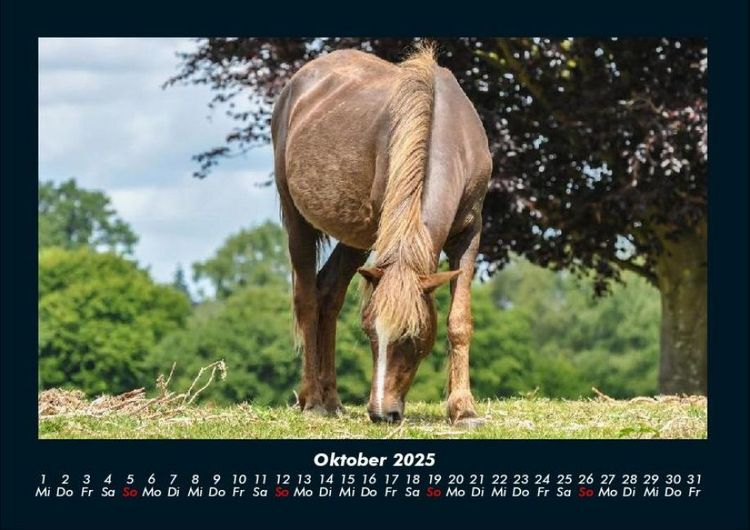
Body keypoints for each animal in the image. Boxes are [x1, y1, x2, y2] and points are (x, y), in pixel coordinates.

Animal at [271, 44, 492, 425]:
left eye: (413, 335)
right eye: (369, 332)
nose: (380, 413)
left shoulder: (469, 233)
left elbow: (459, 320)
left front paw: (463, 409)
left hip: (355, 238)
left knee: (329, 293)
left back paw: (332, 399)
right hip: (298, 220)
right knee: (307, 298)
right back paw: (313, 399)